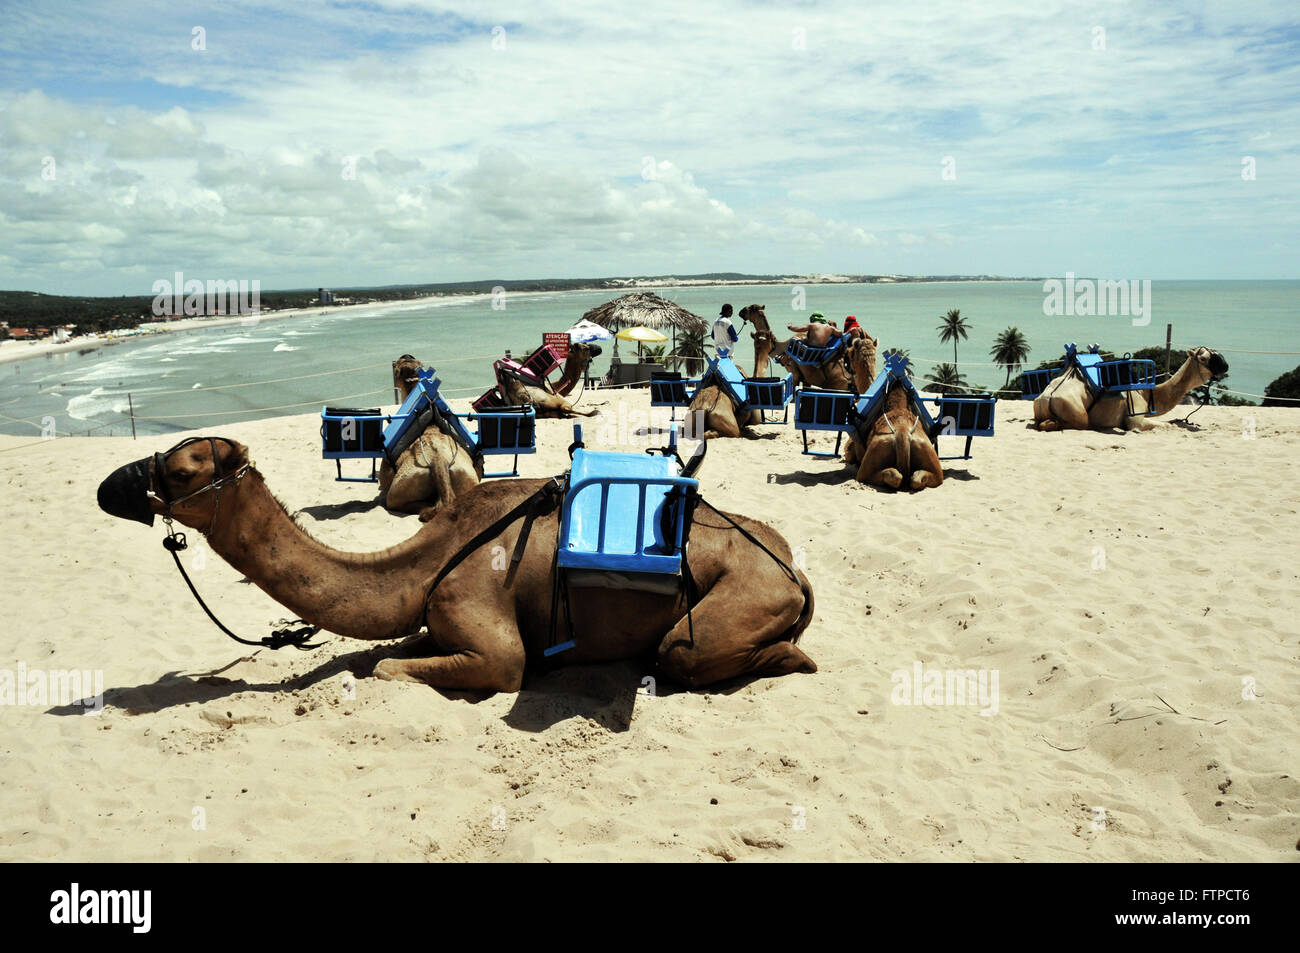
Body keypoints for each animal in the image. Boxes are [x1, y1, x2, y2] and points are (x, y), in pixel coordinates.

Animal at [96, 436, 816, 691]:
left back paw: (790, 658)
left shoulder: (484, 628)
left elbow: (394, 667)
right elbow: (395, 648)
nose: (113, 486)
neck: (428, 558)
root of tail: (794, 570)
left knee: (683, 654)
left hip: (741, 597)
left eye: (181, 468)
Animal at [1034, 345, 1227, 431]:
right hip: (1079, 415)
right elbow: (1164, 425)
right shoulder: (1136, 420)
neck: (1144, 392)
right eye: (1203, 358)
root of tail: (1046, 398)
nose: (1225, 365)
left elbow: (1173, 422)